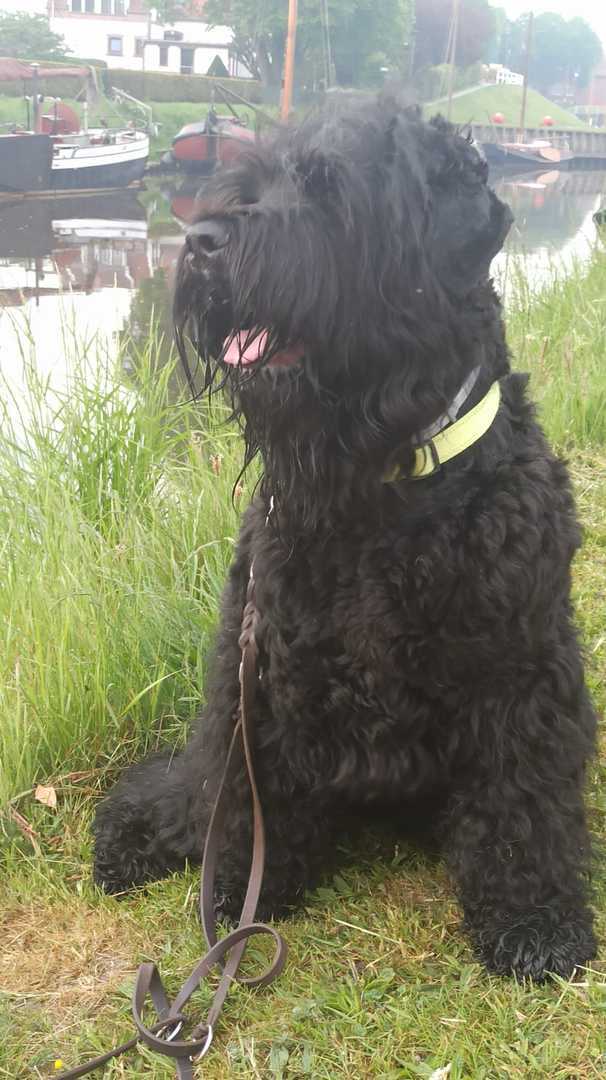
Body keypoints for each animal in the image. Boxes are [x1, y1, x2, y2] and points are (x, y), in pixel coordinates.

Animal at [94, 95, 597, 982]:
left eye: (329, 192)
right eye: (253, 180)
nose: (203, 242)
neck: (384, 487)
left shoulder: (522, 665)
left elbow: (524, 795)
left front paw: (535, 919)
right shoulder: (256, 665)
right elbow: (243, 791)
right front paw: (243, 888)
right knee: (193, 784)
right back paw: (138, 835)